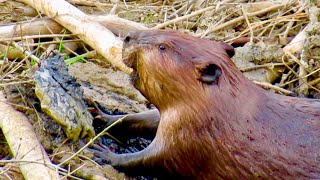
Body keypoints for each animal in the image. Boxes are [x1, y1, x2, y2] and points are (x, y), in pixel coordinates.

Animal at [90, 30, 320, 179]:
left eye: (163, 47)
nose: (128, 37)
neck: (227, 104)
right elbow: (145, 118)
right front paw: (100, 113)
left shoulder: (194, 134)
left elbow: (152, 159)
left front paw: (102, 153)